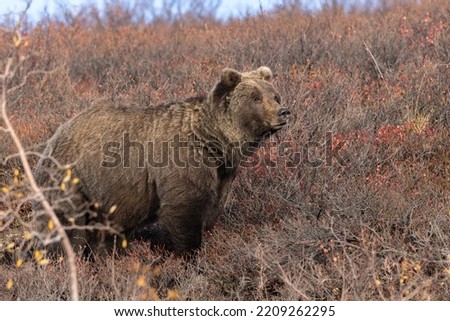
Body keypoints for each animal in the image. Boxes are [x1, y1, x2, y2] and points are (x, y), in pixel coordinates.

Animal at [33, 66, 290, 254]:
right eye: (256, 98)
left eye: (275, 95)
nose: (283, 111)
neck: (214, 142)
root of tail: (54, 137)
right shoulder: (182, 162)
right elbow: (183, 212)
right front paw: (188, 255)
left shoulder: (222, 174)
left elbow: (212, 208)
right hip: (73, 179)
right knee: (65, 224)